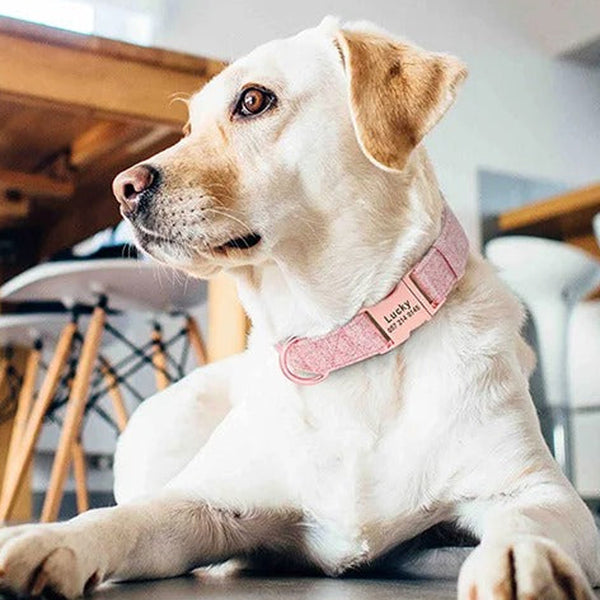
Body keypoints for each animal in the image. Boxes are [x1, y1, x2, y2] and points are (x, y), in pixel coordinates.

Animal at [1, 17, 600, 600]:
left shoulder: (536, 489)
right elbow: (117, 520)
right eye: (188, 129)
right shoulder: (199, 502)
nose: (123, 188)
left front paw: (520, 557)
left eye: (253, 100)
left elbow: (528, 519)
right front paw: (49, 541)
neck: (337, 337)